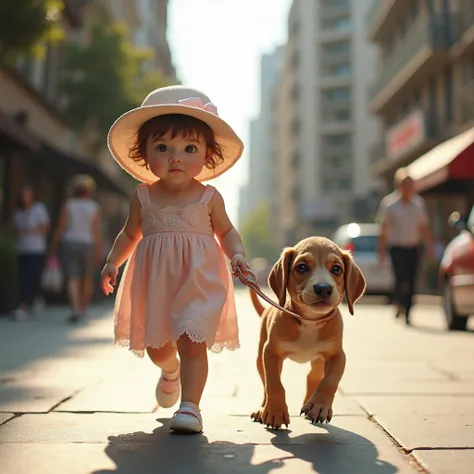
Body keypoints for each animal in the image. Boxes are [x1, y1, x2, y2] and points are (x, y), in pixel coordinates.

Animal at [252, 236, 366, 430]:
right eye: (302, 267)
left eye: (337, 268)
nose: (323, 288)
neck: (309, 321)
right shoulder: (271, 352)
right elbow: (274, 384)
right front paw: (275, 411)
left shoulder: (337, 355)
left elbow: (329, 381)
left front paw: (319, 406)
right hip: (260, 357)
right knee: (265, 382)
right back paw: (262, 409)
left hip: (318, 361)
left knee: (313, 376)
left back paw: (310, 403)